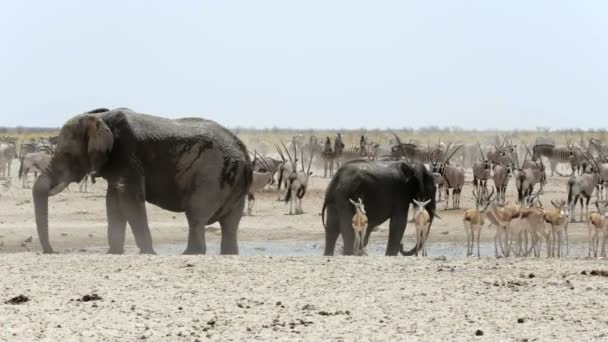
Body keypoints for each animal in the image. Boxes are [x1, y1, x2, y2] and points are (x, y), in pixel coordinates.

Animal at [33, 108, 252, 255]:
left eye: (67, 155)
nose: (52, 251)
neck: (102, 118)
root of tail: (243, 151)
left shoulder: (127, 154)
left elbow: (129, 201)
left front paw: (148, 253)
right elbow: (113, 203)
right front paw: (113, 253)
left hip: (210, 174)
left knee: (196, 217)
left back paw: (190, 254)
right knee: (231, 224)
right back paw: (228, 254)